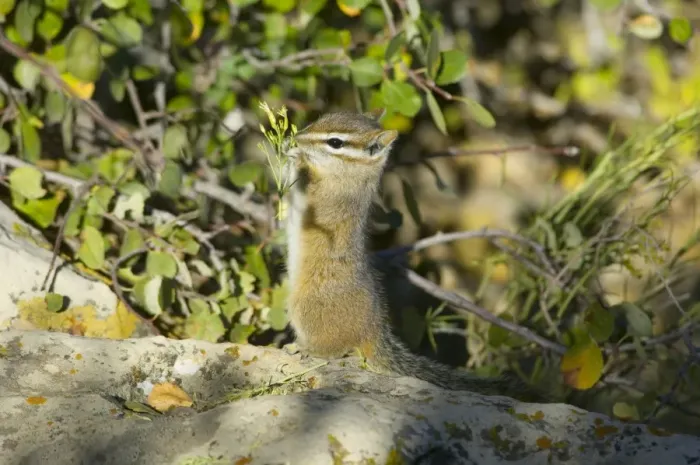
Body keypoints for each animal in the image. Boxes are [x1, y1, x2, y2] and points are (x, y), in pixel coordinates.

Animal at [281, 110, 544, 402]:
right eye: (320, 119)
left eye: (335, 142)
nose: (296, 137)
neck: (349, 175)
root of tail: (373, 330)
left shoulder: (328, 199)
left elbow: (306, 191)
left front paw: (295, 158)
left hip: (305, 307)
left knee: (335, 350)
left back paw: (303, 348)